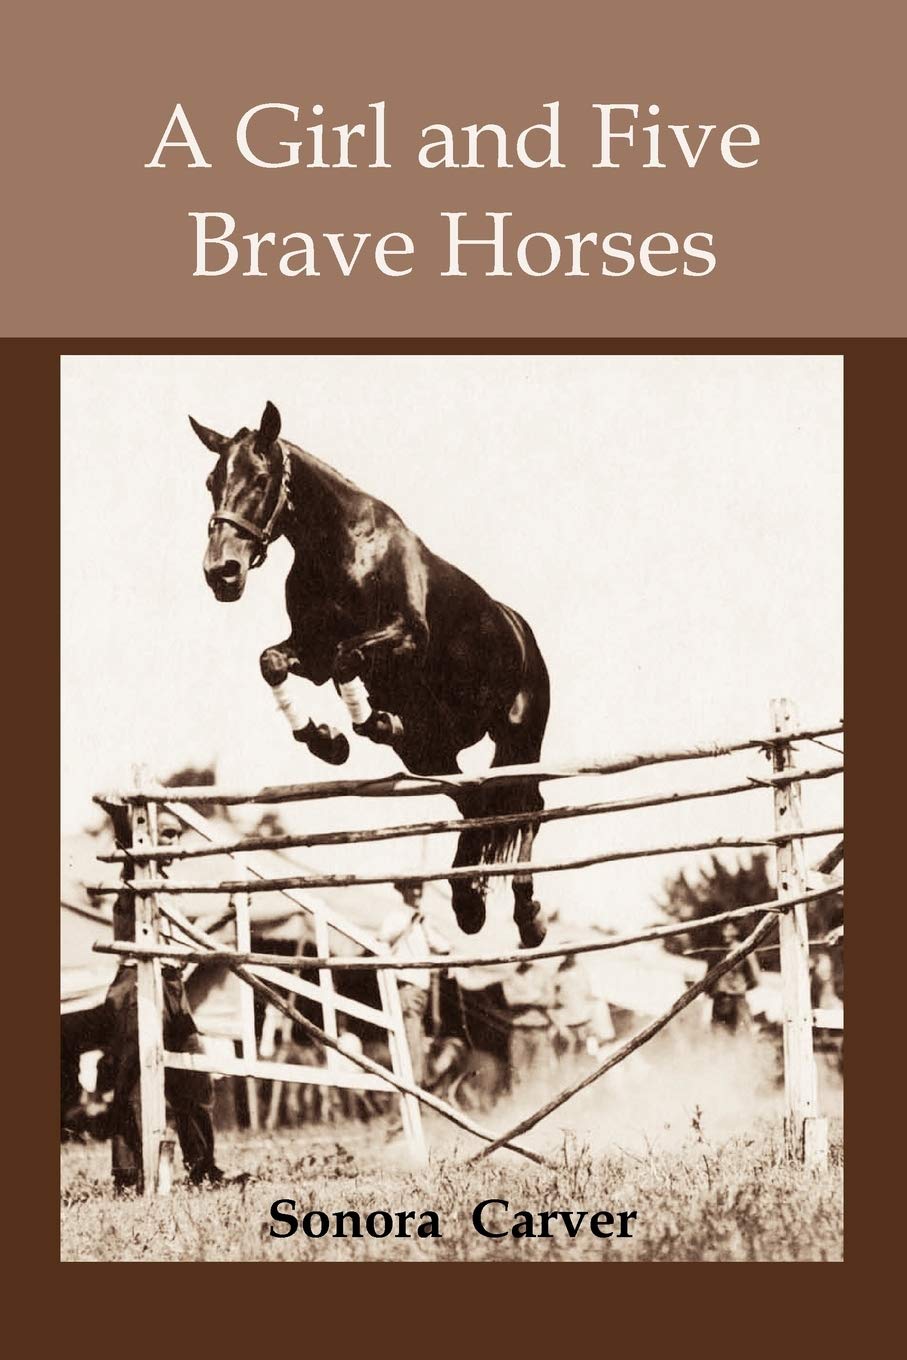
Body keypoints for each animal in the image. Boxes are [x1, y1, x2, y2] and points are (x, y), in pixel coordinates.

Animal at [190, 401, 550, 947]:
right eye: (213, 481)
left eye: (260, 478)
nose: (221, 573)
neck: (339, 547)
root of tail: (522, 632)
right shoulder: (310, 653)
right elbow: (275, 662)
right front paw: (325, 739)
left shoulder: (405, 636)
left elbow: (348, 657)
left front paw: (359, 725)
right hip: (432, 754)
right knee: (475, 802)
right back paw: (467, 902)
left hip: (518, 739)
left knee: (526, 805)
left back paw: (527, 915)